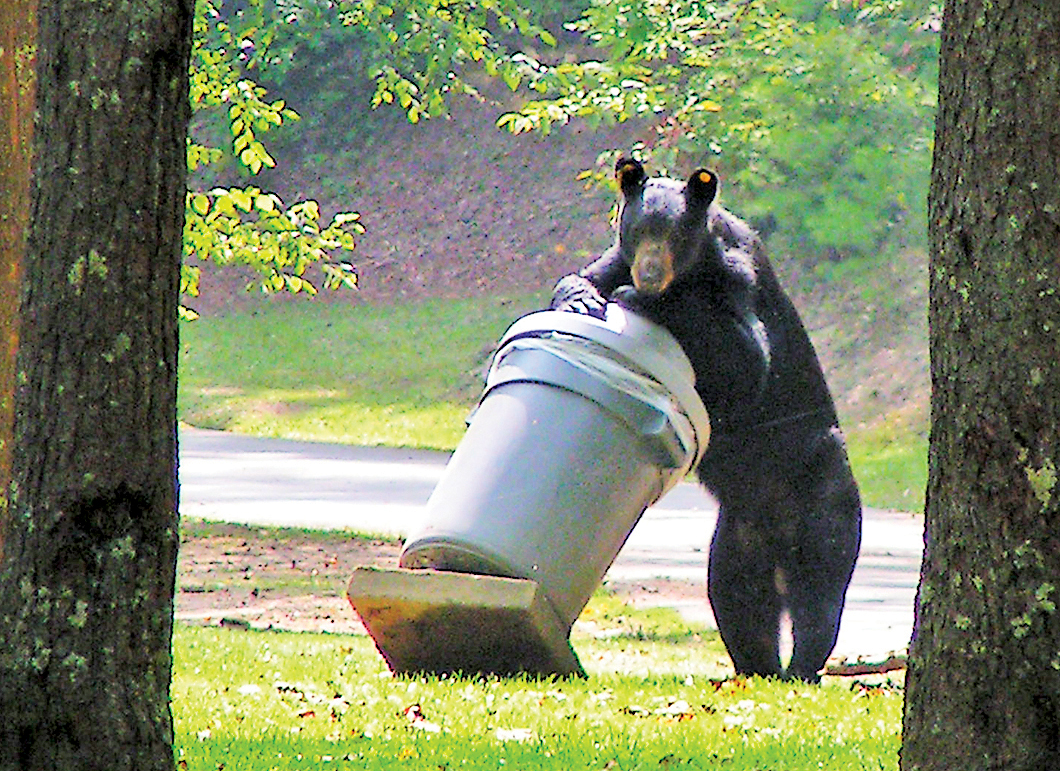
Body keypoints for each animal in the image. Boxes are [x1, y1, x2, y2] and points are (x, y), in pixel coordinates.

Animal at [555, 158, 860, 682]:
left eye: (676, 236)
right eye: (639, 229)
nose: (649, 273)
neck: (693, 272)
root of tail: (775, 525)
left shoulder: (739, 278)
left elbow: (747, 357)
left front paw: (639, 298)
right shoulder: (617, 257)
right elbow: (584, 276)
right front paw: (581, 298)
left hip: (823, 490)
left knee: (819, 588)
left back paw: (801, 667)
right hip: (736, 534)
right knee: (737, 599)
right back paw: (756, 667)